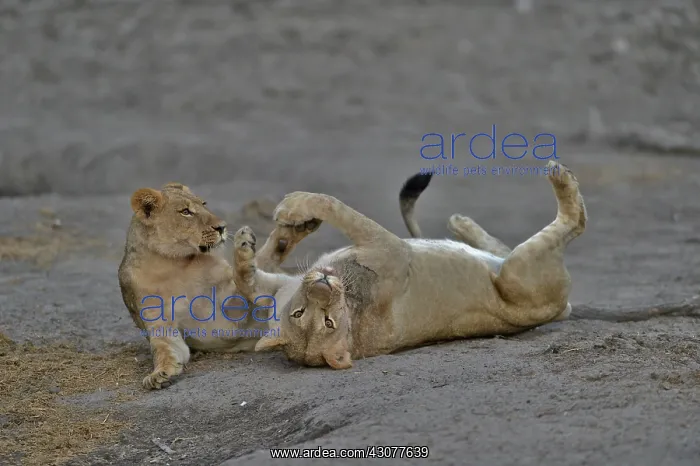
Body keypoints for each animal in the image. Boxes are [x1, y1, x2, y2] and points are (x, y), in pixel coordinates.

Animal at [118, 182, 320, 389]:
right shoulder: (160, 323)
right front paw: (158, 375)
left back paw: (298, 225)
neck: (176, 264)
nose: (222, 227)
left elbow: (245, 278)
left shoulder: (232, 305)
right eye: (185, 212)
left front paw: (244, 249)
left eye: (204, 204)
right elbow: (164, 350)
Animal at [229, 161, 586, 369]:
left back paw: (461, 224)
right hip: (516, 273)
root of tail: (562, 308)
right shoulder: (390, 248)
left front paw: (255, 241)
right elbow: (337, 206)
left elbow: (246, 280)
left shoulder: (278, 289)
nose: (321, 286)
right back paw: (559, 177)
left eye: (300, 313)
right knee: (575, 222)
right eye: (322, 321)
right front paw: (293, 208)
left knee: (500, 246)